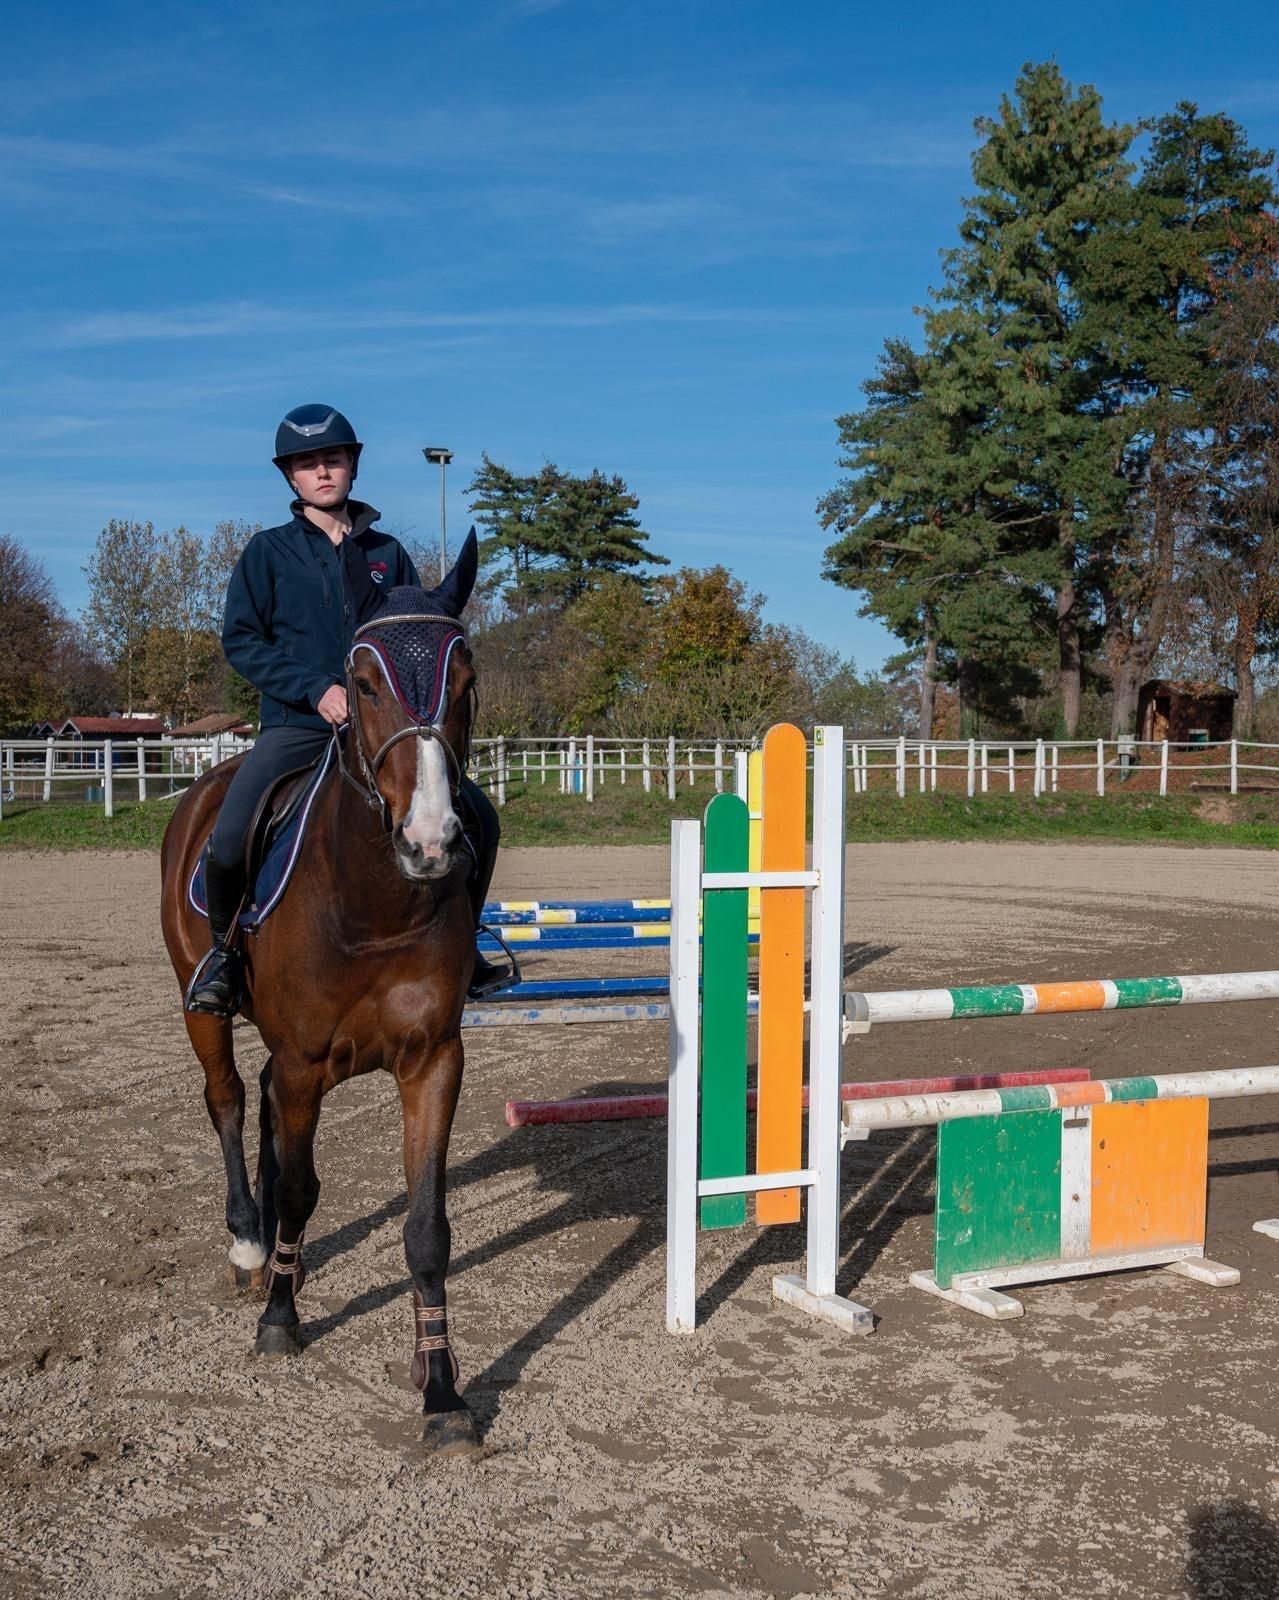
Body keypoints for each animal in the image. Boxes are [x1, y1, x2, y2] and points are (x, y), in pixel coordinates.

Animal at [159, 597, 481, 1456]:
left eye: (465, 683)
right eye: (361, 685)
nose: (430, 840)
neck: (374, 903)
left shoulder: (432, 1062)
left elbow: (426, 1228)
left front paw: (440, 1389)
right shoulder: (305, 1060)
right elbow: (302, 1188)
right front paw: (279, 1319)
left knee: (264, 1105)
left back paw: (279, 1255)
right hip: (199, 1007)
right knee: (231, 1100)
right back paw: (250, 1243)